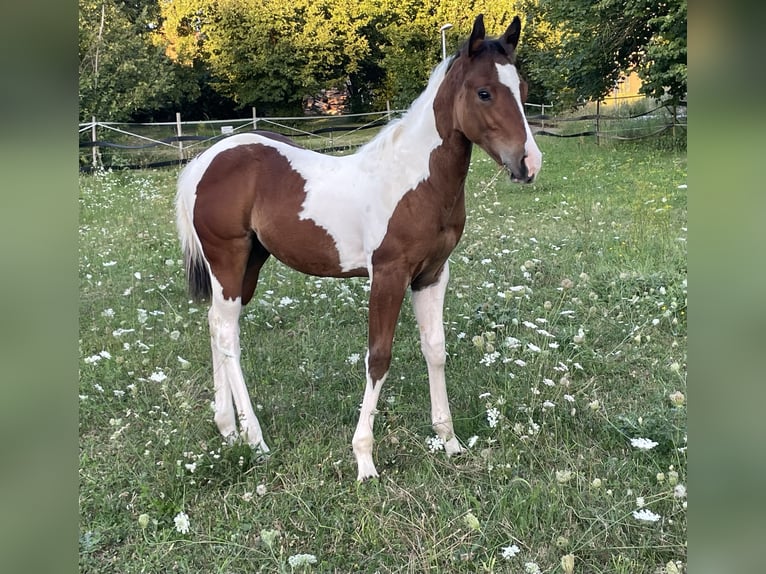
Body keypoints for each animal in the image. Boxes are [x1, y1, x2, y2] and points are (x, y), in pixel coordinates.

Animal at [175, 13, 542, 481]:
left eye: (523, 90)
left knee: (215, 324)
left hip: (248, 265)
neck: (413, 180)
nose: (529, 163)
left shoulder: (432, 274)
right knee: (227, 336)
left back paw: (226, 428)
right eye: (484, 92)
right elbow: (378, 357)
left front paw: (449, 441)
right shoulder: (388, 274)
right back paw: (254, 440)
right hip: (228, 259)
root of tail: (205, 161)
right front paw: (364, 458)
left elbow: (435, 350)